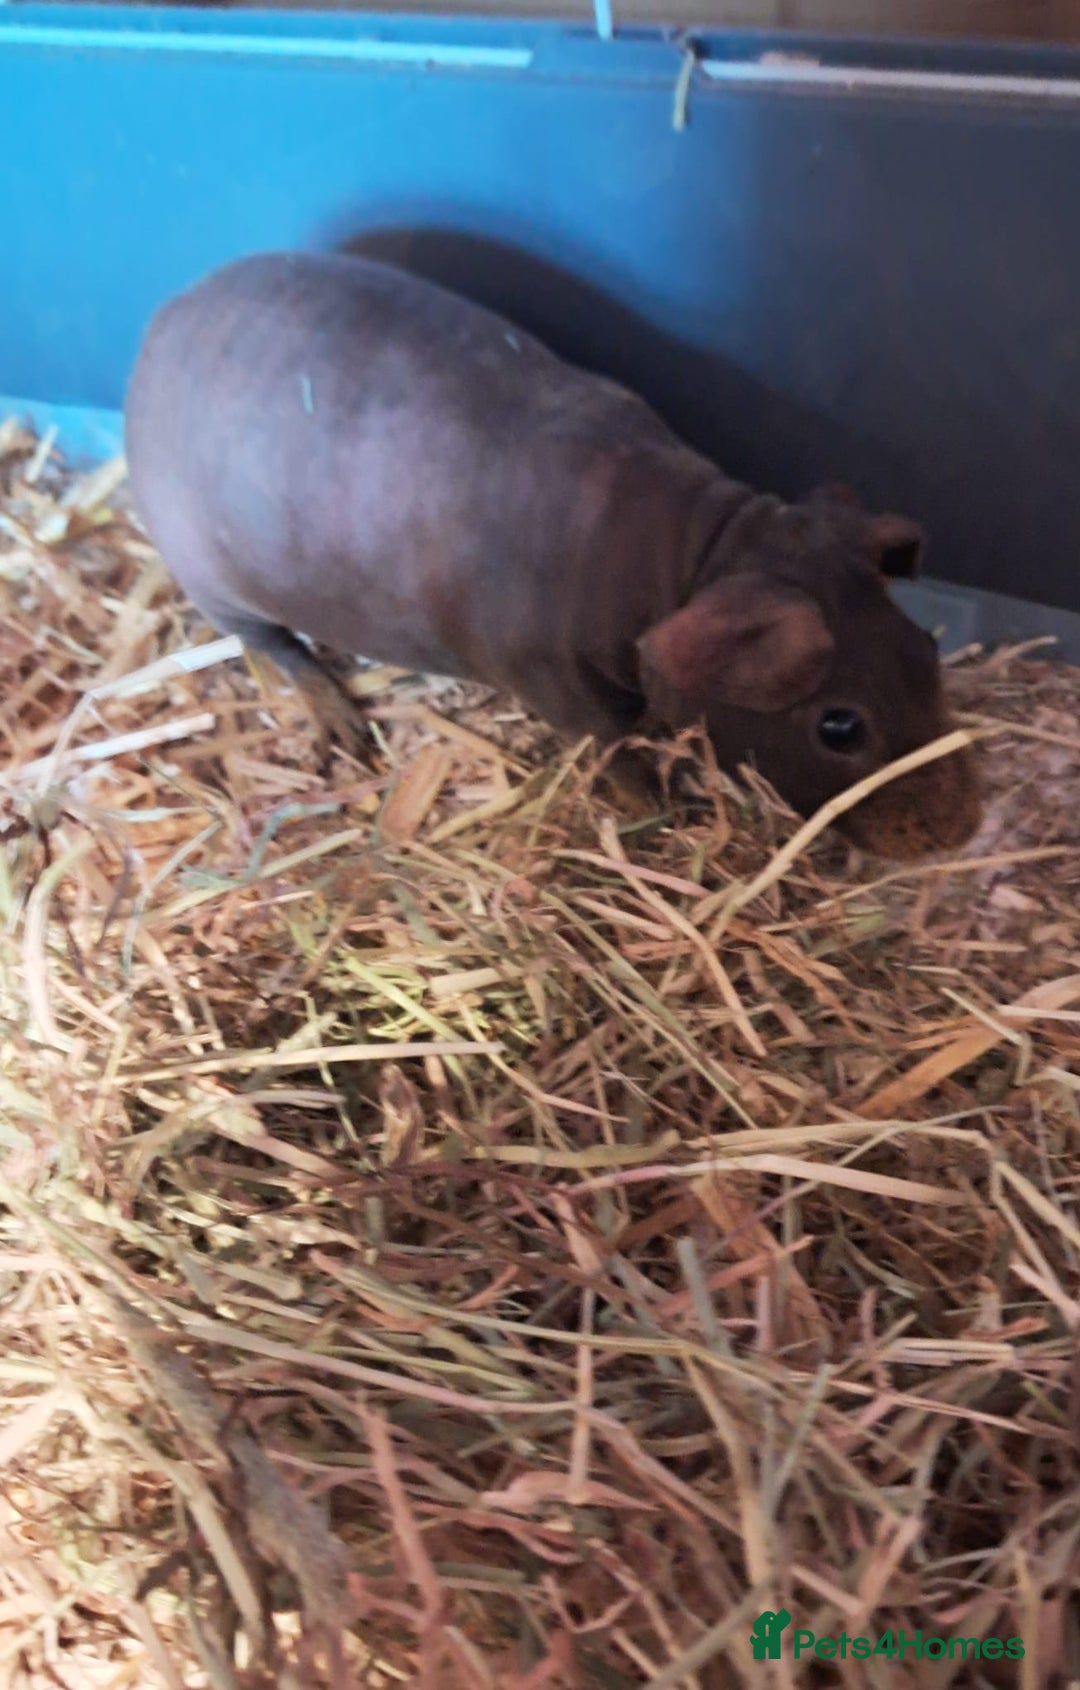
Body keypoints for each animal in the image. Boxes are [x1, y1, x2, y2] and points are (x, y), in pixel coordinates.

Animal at [124, 250, 980, 859]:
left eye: (923, 648)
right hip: (218, 591)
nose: (964, 828)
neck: (685, 559)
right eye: (839, 726)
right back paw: (342, 730)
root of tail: (158, 330)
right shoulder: (568, 698)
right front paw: (665, 809)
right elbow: (617, 754)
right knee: (276, 648)